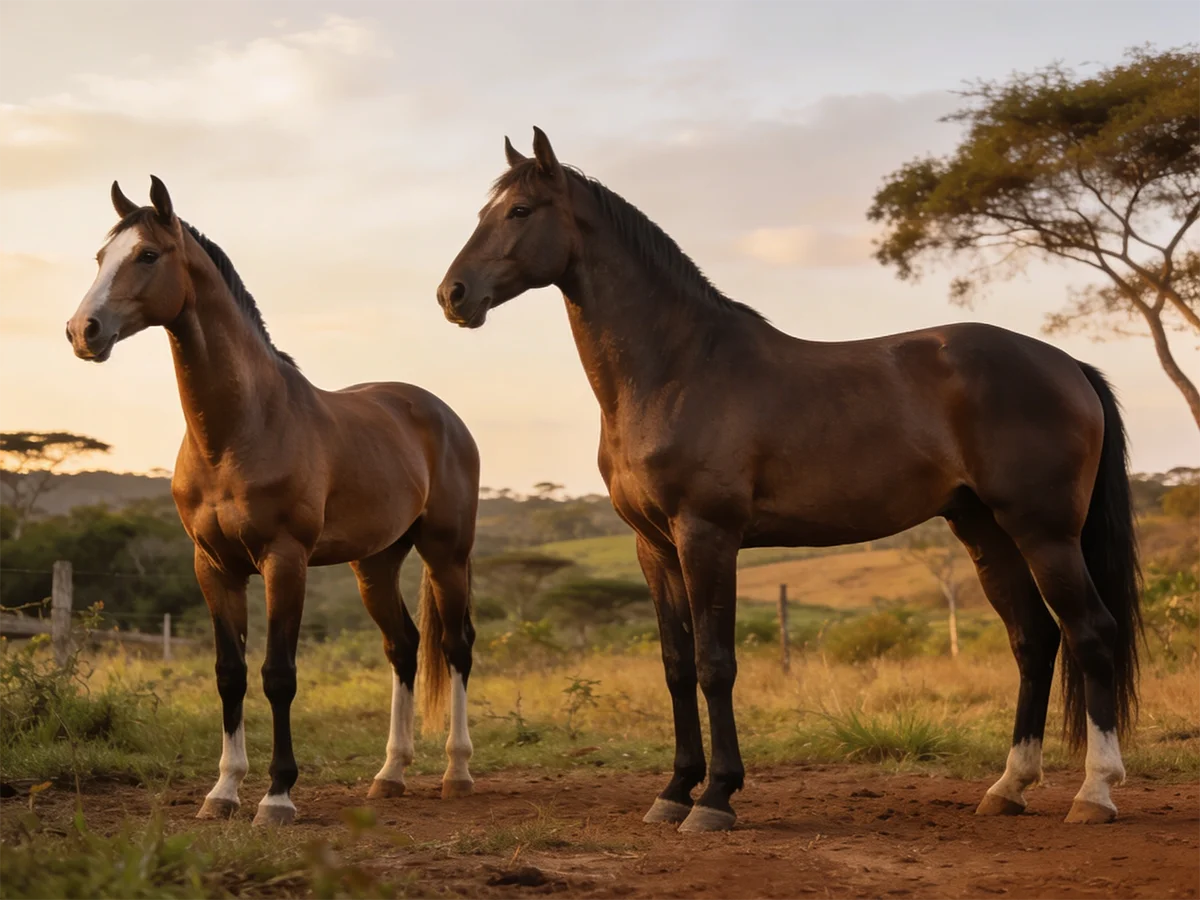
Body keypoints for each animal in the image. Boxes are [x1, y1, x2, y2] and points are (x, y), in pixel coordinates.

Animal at [66, 177, 480, 825]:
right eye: (101, 258)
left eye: (148, 255)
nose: (83, 330)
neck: (241, 430)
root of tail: (441, 413)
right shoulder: (214, 567)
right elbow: (229, 675)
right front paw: (223, 791)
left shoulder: (285, 562)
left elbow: (277, 675)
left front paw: (278, 795)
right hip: (376, 563)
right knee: (405, 647)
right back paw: (389, 775)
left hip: (447, 555)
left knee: (456, 647)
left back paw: (456, 773)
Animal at [436, 128, 1141, 833]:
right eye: (483, 212)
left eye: (520, 211)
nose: (453, 295)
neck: (676, 370)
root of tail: (1068, 365)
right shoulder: (653, 547)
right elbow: (675, 666)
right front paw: (674, 790)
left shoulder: (707, 536)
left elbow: (715, 664)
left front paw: (716, 797)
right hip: (984, 530)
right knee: (1034, 639)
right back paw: (1008, 787)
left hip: (1044, 531)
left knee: (1090, 632)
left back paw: (1095, 792)